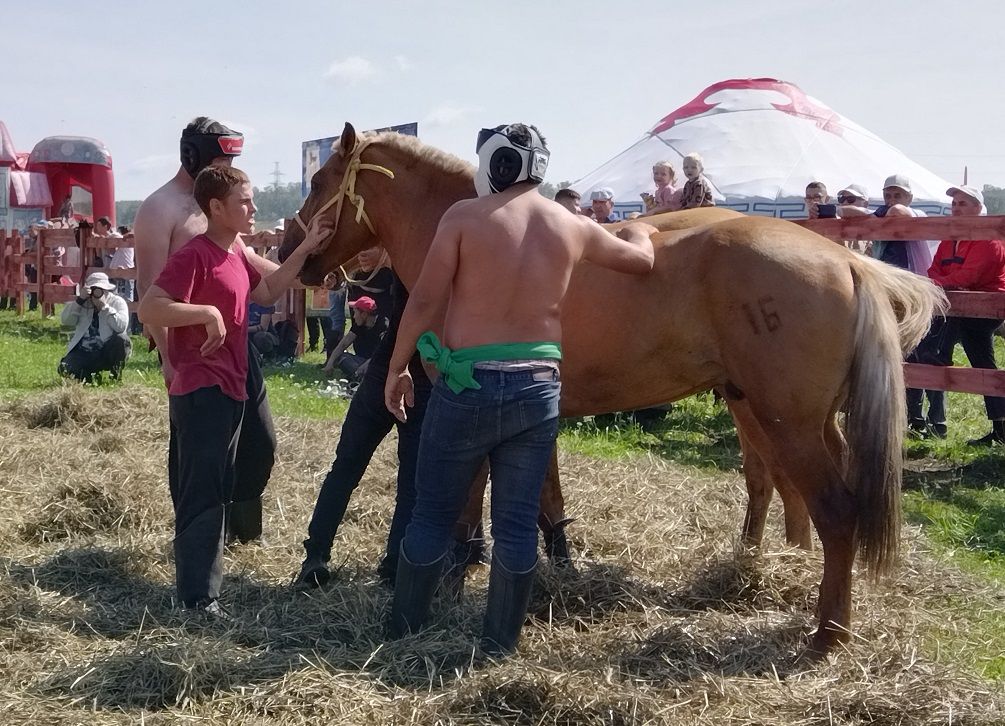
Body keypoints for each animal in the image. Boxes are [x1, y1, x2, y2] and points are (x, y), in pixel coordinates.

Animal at [281, 121, 940, 651]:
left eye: (320, 182)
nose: (295, 255)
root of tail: (844, 260)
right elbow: (544, 496)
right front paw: (556, 563)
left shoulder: (465, 406)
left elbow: (470, 497)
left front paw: (454, 572)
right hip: (782, 415)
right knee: (786, 488)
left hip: (787, 421)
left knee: (835, 510)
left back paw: (827, 634)